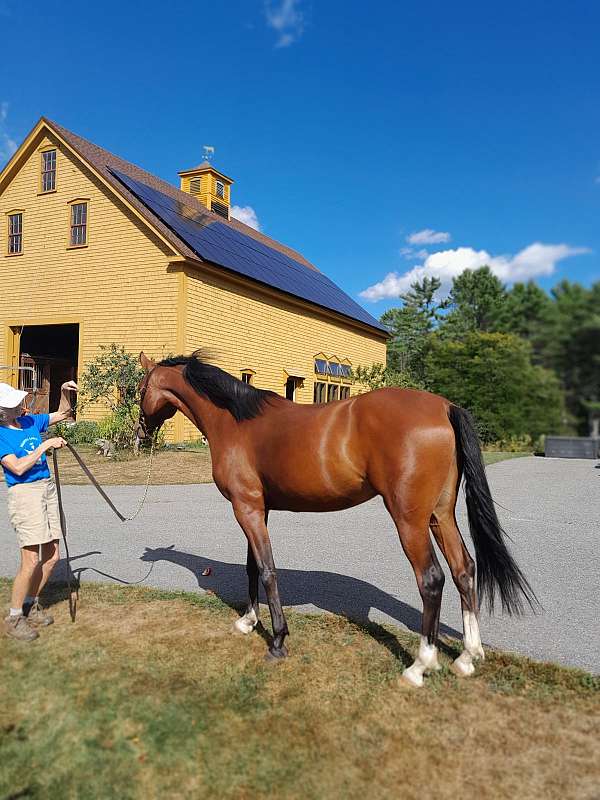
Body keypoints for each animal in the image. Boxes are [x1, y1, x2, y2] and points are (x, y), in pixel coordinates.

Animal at [135, 350, 535, 687]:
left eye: (139, 388)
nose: (140, 434)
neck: (236, 421)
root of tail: (444, 407)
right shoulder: (257, 508)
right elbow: (252, 567)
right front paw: (248, 621)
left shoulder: (246, 508)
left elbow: (267, 570)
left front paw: (277, 641)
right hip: (440, 514)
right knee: (463, 569)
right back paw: (467, 657)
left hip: (409, 520)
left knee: (432, 579)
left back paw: (420, 666)